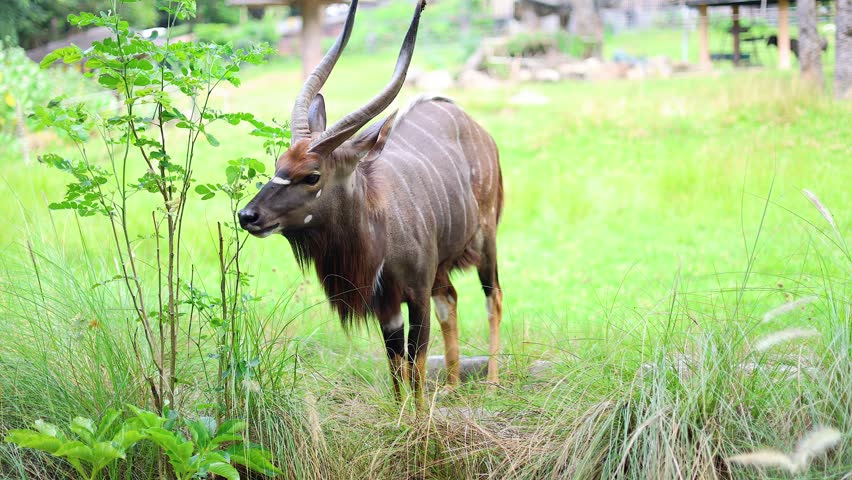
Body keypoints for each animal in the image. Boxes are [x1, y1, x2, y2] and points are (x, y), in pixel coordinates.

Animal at [238, 0, 504, 405]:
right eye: (278, 163)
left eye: (312, 175)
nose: (248, 216)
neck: (378, 230)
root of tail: (473, 125)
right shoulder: (386, 305)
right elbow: (396, 368)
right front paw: (400, 415)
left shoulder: (416, 294)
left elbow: (416, 362)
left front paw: (420, 421)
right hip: (442, 268)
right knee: (452, 300)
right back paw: (453, 387)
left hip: (485, 238)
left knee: (493, 298)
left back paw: (491, 382)